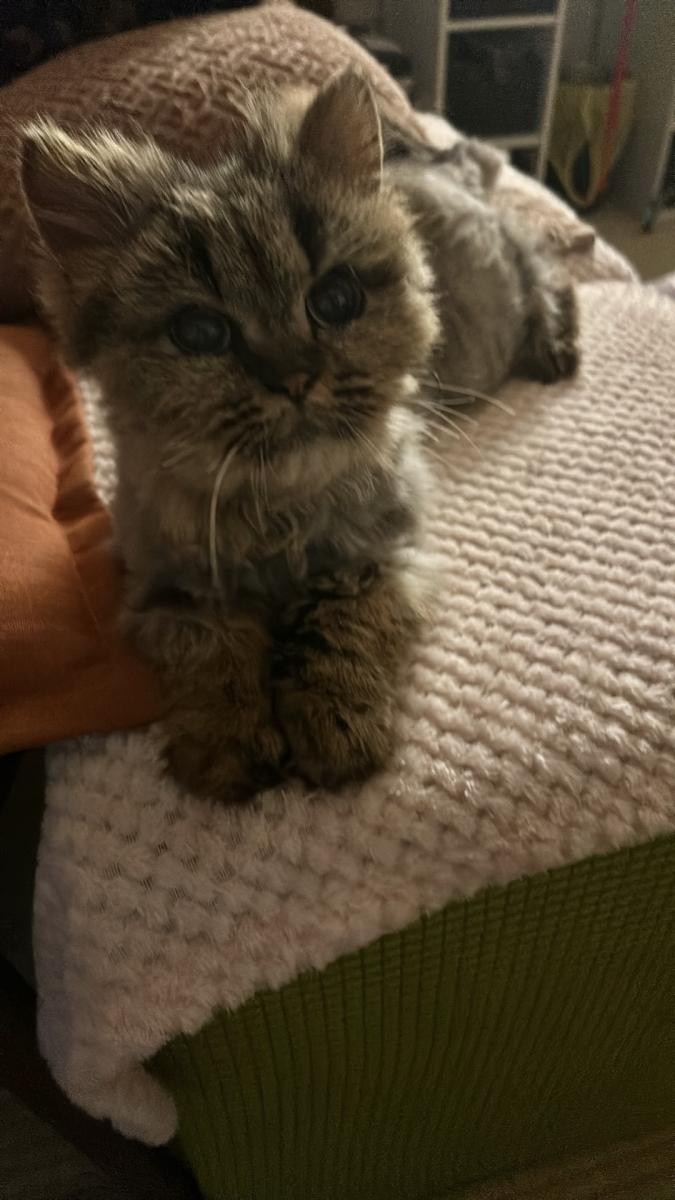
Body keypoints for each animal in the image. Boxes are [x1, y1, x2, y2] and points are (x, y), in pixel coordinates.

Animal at [20, 71, 578, 804]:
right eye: (200, 333)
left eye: (335, 300)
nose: (295, 377)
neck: (277, 517)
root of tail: (432, 167)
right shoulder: (162, 584)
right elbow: (211, 647)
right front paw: (226, 740)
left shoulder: (390, 557)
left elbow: (340, 625)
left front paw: (335, 726)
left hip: (512, 277)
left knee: (550, 267)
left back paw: (555, 347)